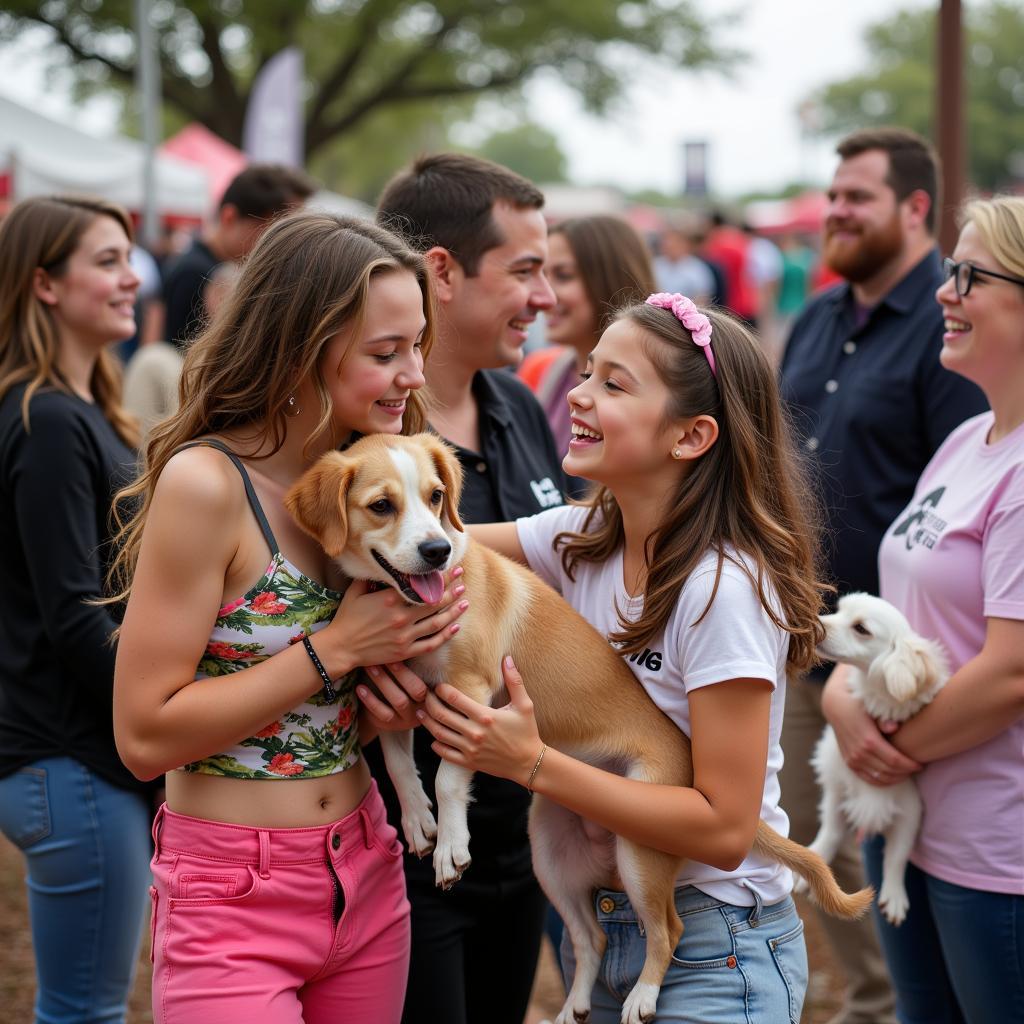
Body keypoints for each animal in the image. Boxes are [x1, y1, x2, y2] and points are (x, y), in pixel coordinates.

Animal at [802, 589, 946, 925]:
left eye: (861, 628)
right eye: (838, 610)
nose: (815, 622)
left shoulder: (909, 813)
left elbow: (897, 856)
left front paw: (894, 895)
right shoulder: (838, 793)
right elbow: (830, 831)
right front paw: (812, 862)